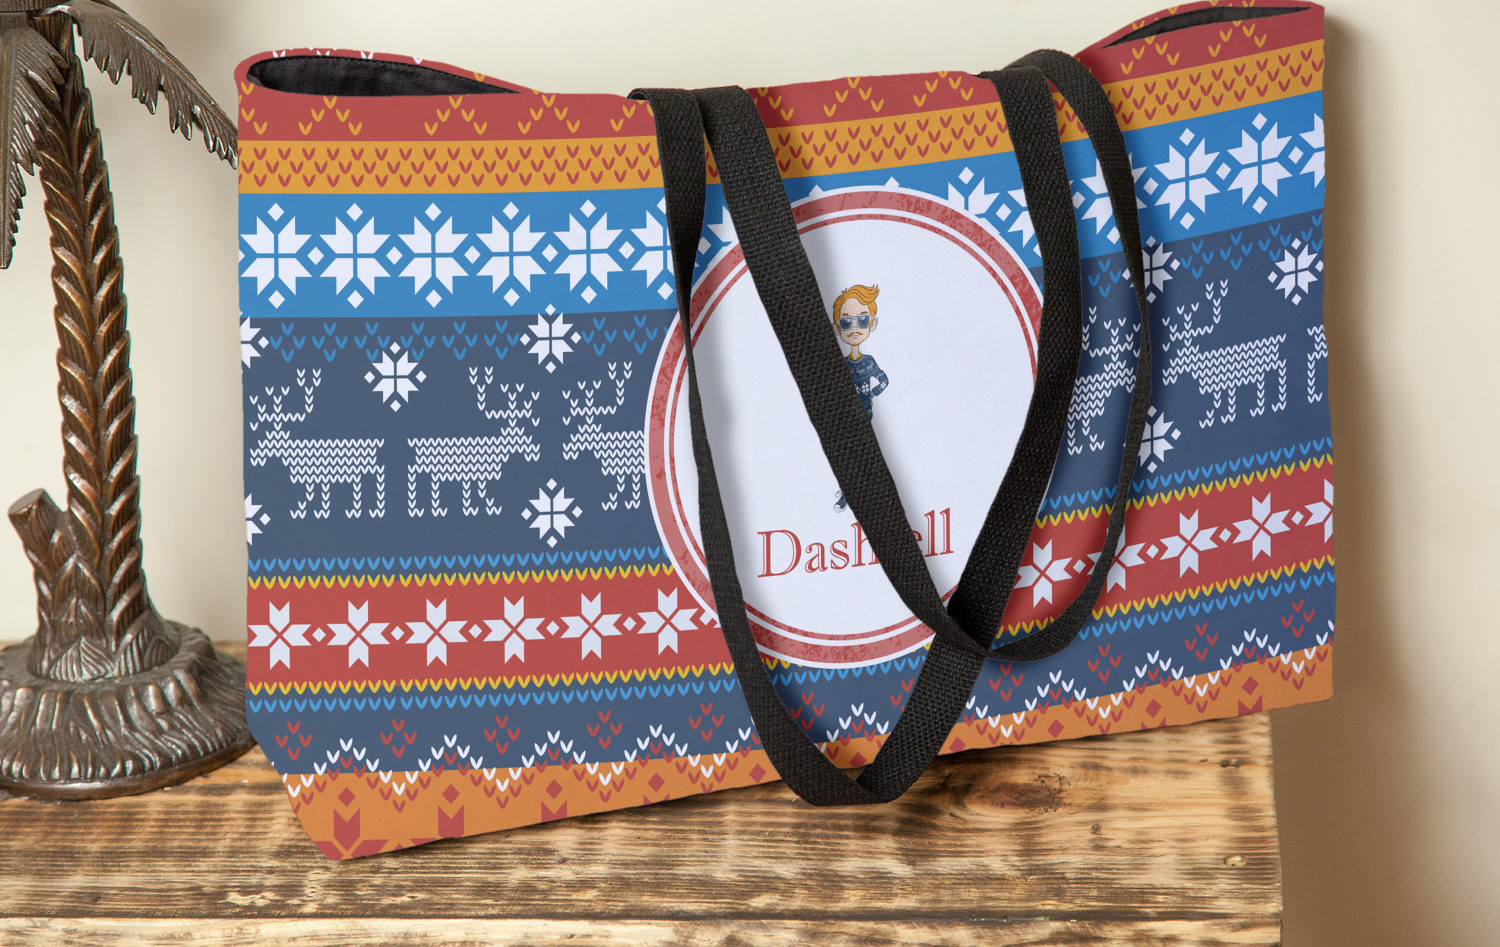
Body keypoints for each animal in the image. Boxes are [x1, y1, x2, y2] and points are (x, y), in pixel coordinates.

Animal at [249, 369, 386, 519]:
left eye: (271, 439)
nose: (257, 458)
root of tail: (375, 442)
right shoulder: (314, 476)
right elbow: (313, 494)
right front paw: (315, 510)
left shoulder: (312, 474)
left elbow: (311, 495)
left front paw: (305, 510)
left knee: (376, 473)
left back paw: (372, 508)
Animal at [406, 367, 541, 517]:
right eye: (519, 434)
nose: (533, 453)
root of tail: (416, 441)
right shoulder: (478, 471)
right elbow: (480, 492)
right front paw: (486, 506)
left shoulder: (475, 473)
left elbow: (476, 490)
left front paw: (475, 507)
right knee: (415, 472)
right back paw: (419, 507)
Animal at [562, 362, 646, 510]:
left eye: (582, 431)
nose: (568, 451)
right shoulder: (623, 468)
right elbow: (623, 485)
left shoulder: (625, 466)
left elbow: (624, 486)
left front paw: (621, 501)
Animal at [1161, 280, 1287, 428]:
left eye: (1184, 353)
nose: (1171, 374)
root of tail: (1276, 339)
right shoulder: (1221, 384)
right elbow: (1221, 401)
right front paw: (1221, 416)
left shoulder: (1222, 381)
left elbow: (1221, 402)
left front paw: (1217, 417)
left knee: (1279, 368)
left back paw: (1276, 402)